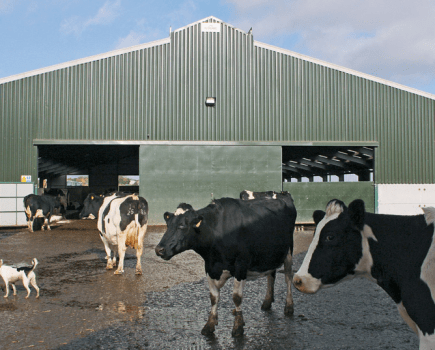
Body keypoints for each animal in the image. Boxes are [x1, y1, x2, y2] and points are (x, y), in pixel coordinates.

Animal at [155, 197, 298, 336]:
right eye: (168, 225)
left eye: (182, 226)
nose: (159, 249)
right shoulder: (209, 267)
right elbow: (214, 297)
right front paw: (209, 324)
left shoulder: (241, 266)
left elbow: (236, 297)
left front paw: (238, 326)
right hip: (270, 255)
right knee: (271, 275)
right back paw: (267, 301)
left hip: (288, 251)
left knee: (288, 277)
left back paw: (289, 306)